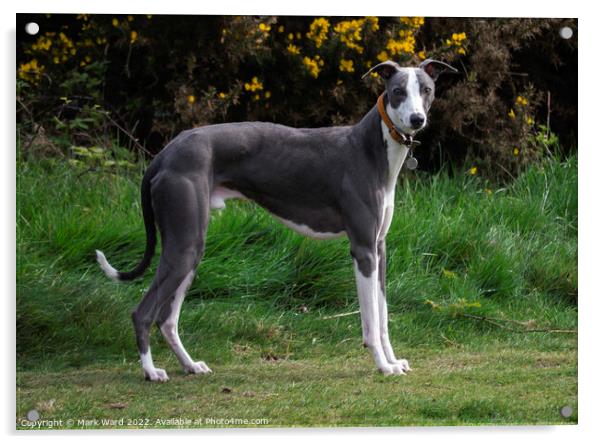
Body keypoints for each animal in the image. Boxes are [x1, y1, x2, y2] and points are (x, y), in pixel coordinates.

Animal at [96, 57, 454, 380]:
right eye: (397, 91)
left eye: (426, 89)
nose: (417, 119)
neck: (371, 147)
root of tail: (164, 155)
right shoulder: (363, 249)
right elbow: (370, 321)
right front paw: (383, 366)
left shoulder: (379, 248)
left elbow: (383, 316)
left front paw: (394, 361)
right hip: (184, 245)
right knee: (143, 313)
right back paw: (151, 371)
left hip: (191, 249)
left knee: (167, 319)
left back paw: (191, 365)